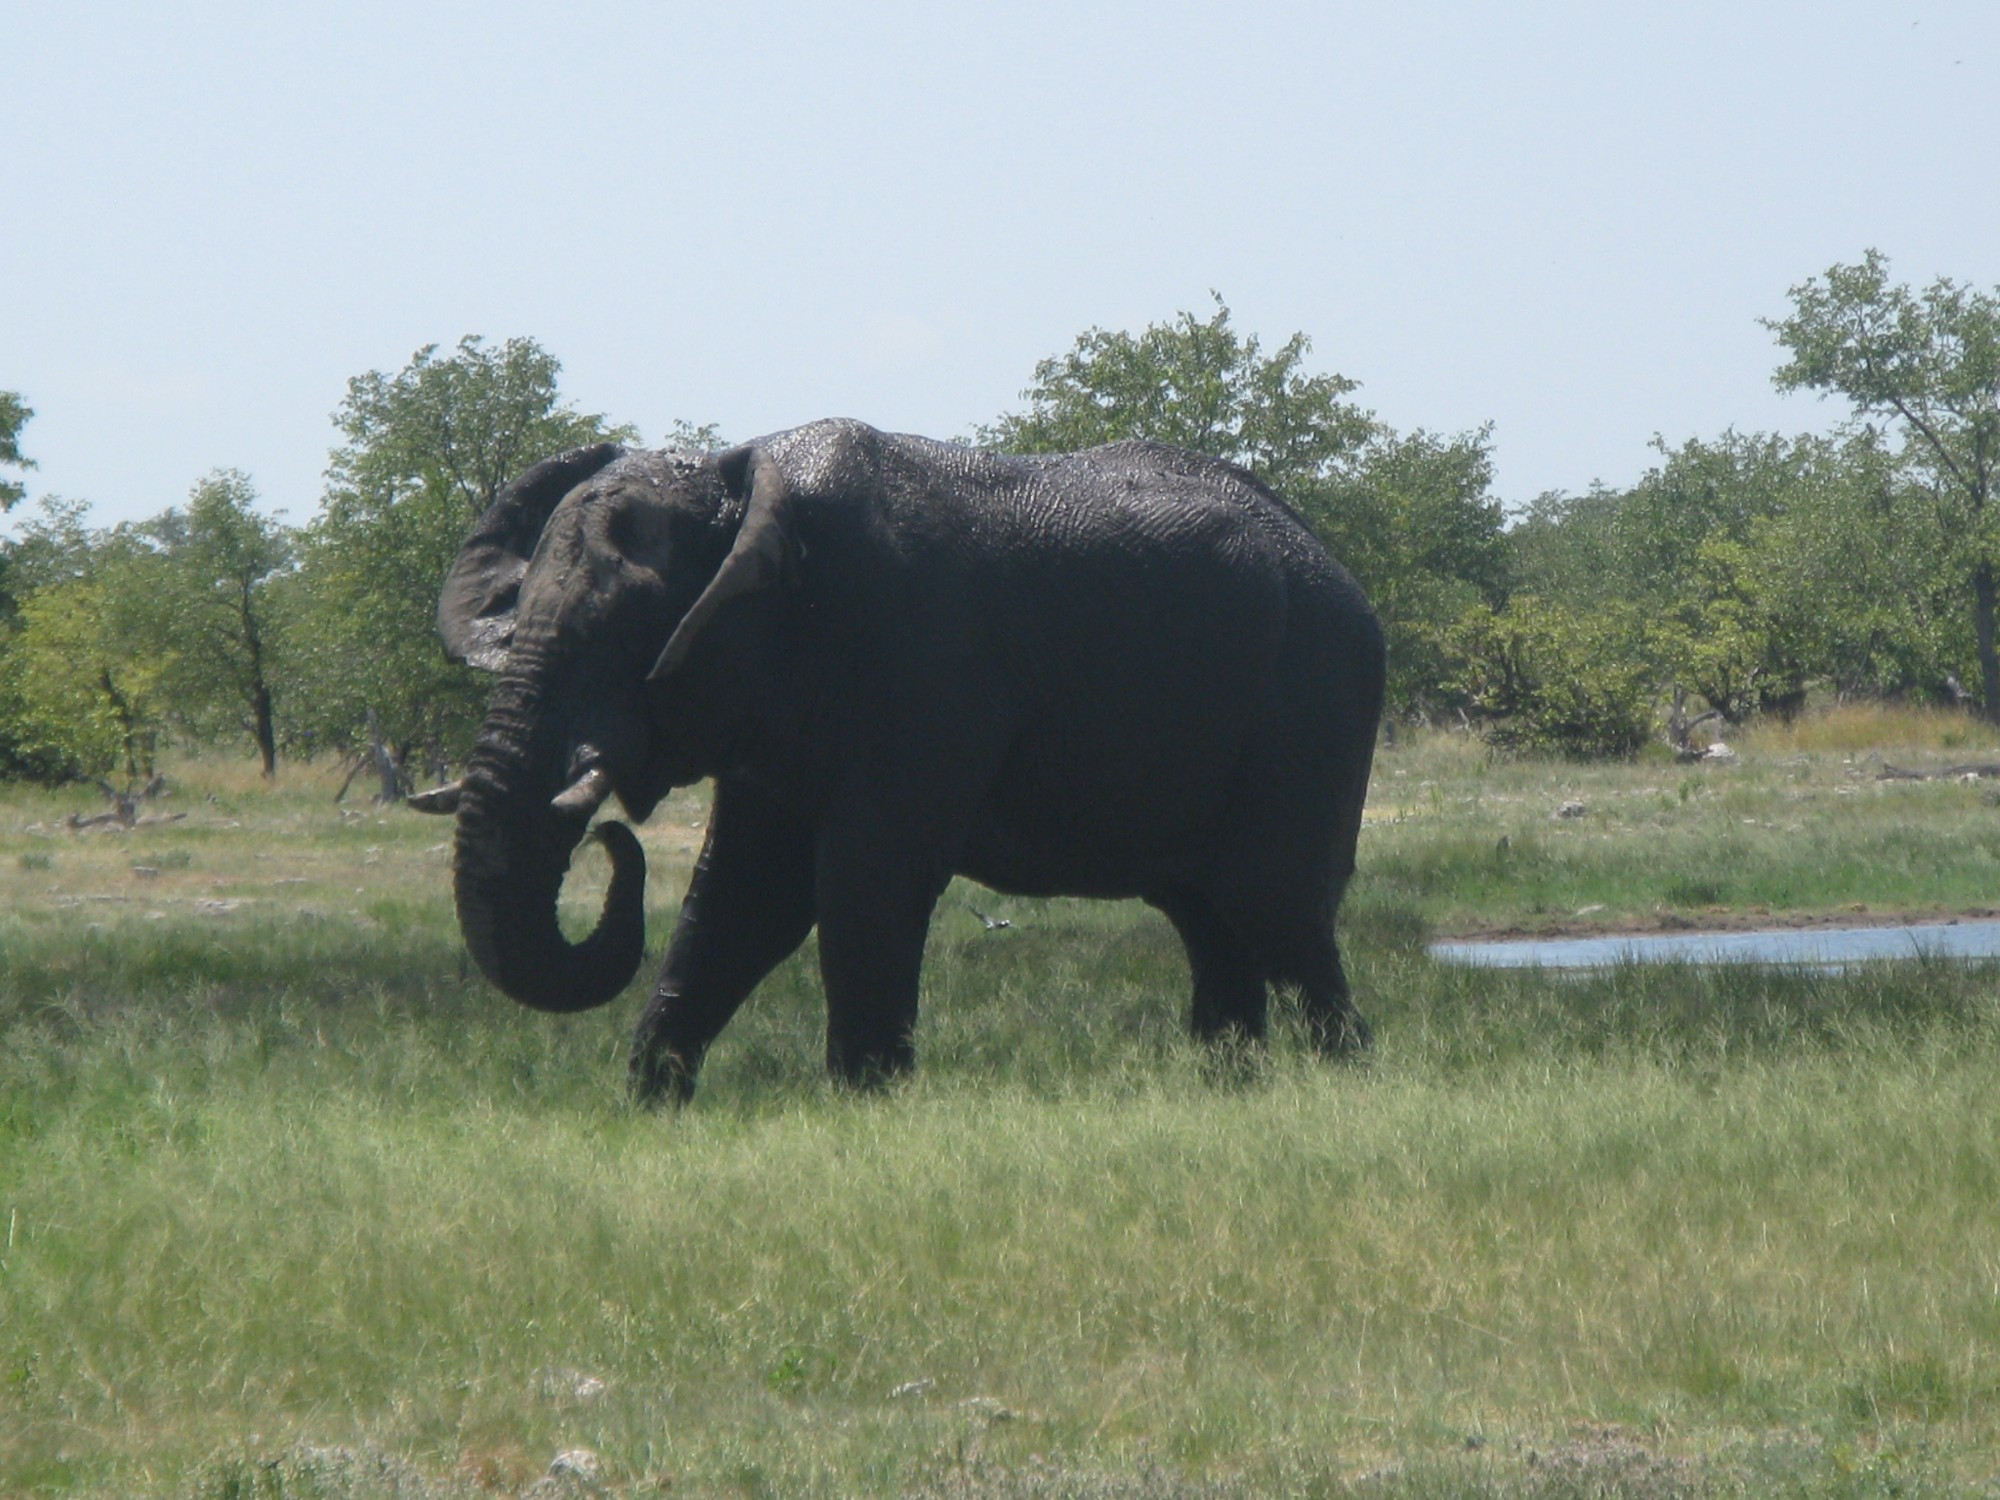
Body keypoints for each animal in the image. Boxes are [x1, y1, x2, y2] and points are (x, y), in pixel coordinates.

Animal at [418, 424, 1392, 1104]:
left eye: (617, 632)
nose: (611, 837)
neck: (747, 489)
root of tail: (1342, 570)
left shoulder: (923, 668)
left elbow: (865, 881)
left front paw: (867, 1107)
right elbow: (743, 895)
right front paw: (653, 1106)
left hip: (1310, 704)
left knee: (1275, 907)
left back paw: (1340, 1079)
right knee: (1209, 919)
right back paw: (1227, 1088)